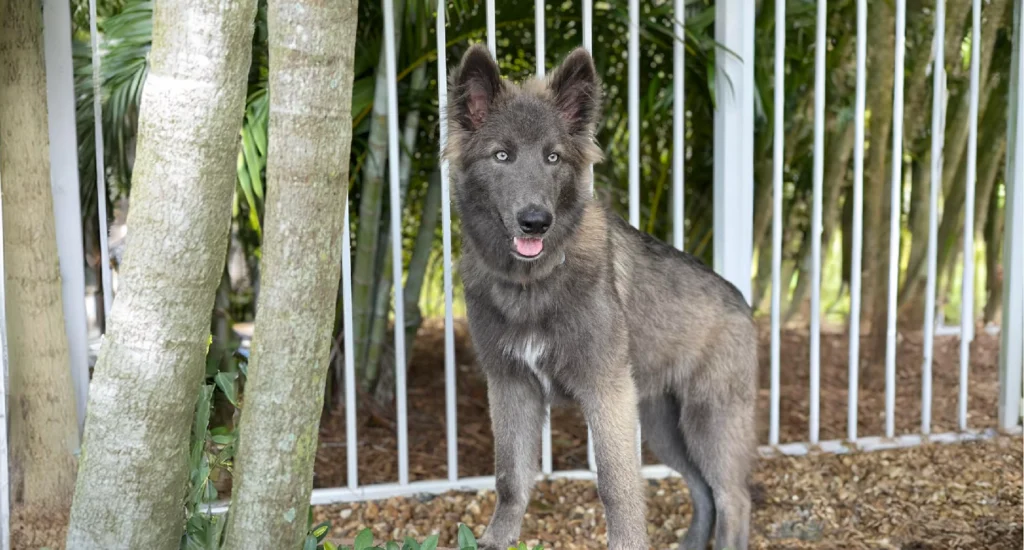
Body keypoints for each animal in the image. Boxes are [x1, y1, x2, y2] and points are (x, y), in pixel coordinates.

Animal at [448, 44, 761, 548]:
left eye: (553, 157)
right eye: (502, 155)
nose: (536, 221)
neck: (534, 283)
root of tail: (741, 302)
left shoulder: (605, 391)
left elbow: (618, 487)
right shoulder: (512, 386)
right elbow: (510, 480)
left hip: (708, 423)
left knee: (733, 498)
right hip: (663, 426)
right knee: (704, 491)